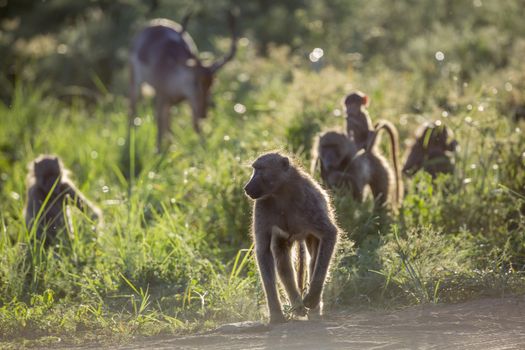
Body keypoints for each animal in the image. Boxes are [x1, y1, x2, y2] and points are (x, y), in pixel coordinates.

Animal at [130, 11, 236, 149]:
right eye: (195, 82)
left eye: (212, 84)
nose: (204, 114)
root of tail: (155, 23)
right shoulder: (161, 96)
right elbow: (159, 125)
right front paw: (158, 152)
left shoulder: (189, 101)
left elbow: (195, 125)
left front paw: (204, 147)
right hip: (135, 81)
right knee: (132, 109)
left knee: (168, 121)